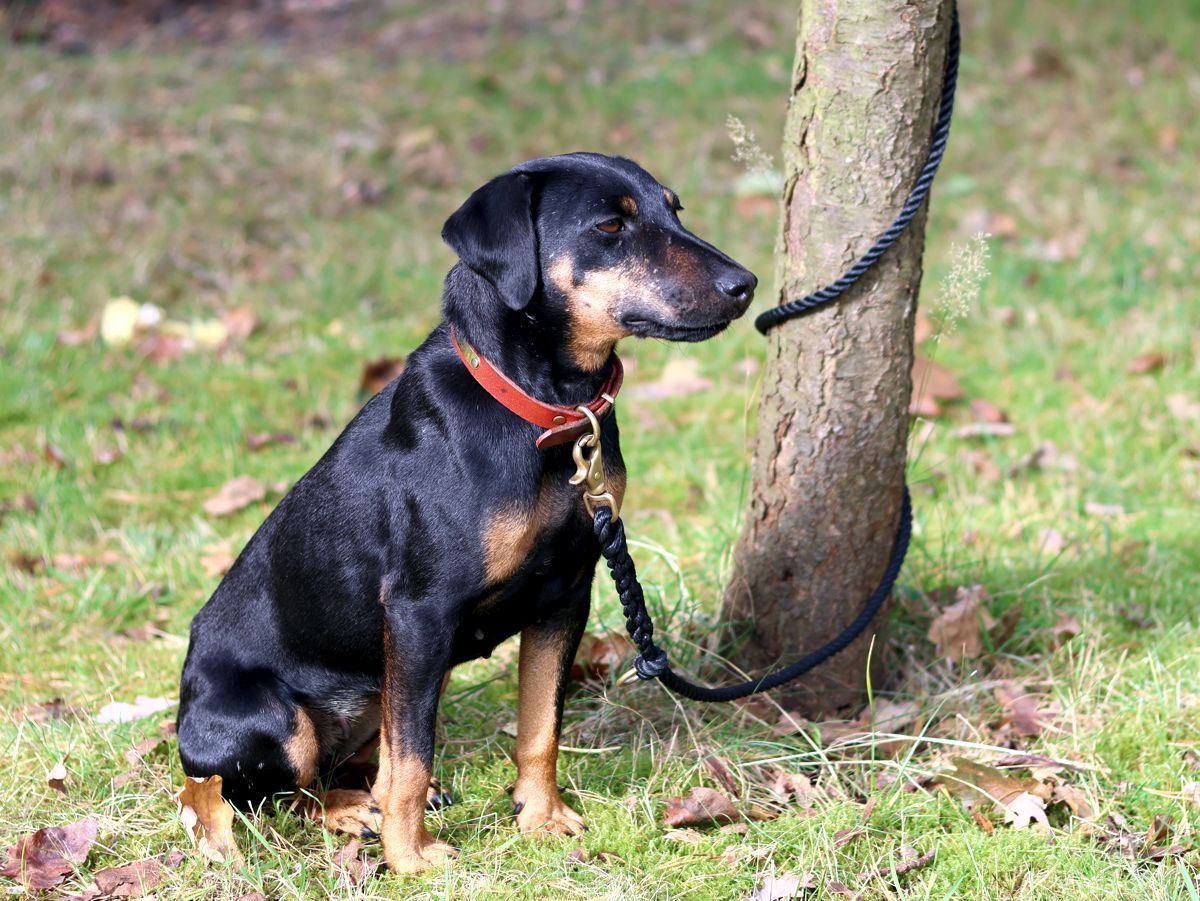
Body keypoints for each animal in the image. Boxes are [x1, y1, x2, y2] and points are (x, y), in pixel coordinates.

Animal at [175, 153, 758, 873]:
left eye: (674, 209)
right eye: (610, 225)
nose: (745, 284)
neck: (541, 412)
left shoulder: (565, 595)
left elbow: (540, 725)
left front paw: (540, 817)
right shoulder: (419, 612)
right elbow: (412, 760)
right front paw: (411, 858)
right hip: (274, 722)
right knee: (262, 795)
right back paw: (335, 817)